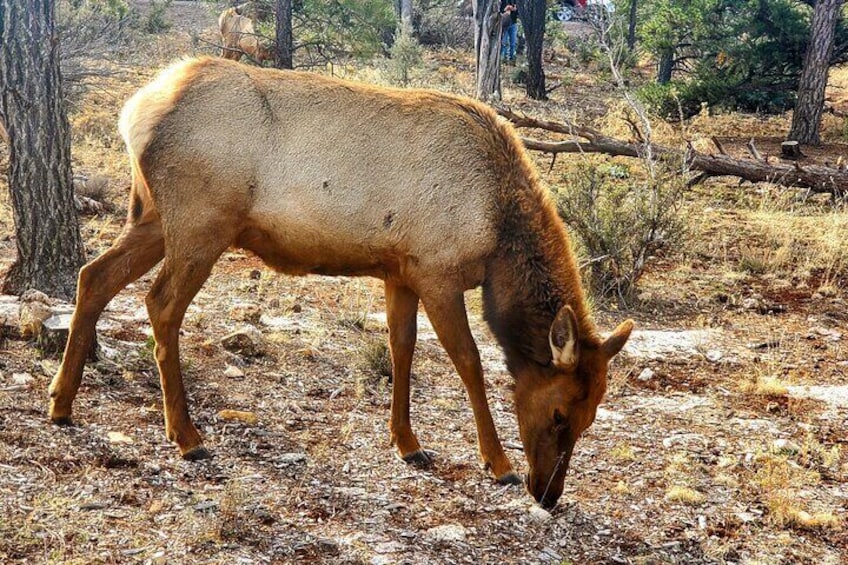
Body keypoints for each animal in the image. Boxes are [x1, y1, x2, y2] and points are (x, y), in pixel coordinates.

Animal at [46, 57, 628, 506]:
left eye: (591, 416)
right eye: (559, 414)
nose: (547, 494)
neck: (496, 236)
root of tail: (134, 112)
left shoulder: (399, 271)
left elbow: (401, 350)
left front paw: (408, 442)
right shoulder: (436, 270)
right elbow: (469, 363)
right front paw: (498, 462)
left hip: (150, 216)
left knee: (93, 276)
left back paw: (60, 403)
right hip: (200, 223)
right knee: (160, 303)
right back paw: (187, 436)